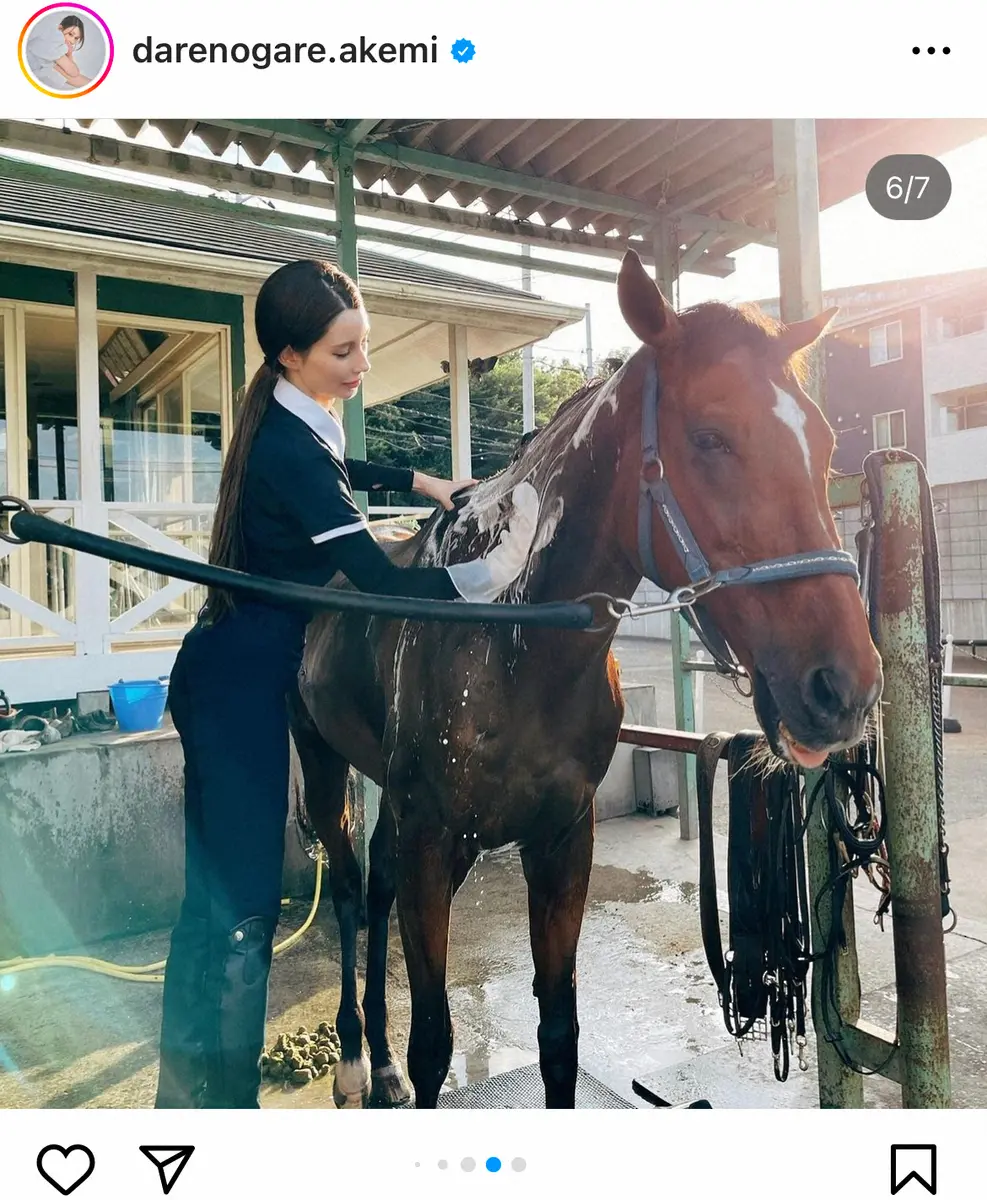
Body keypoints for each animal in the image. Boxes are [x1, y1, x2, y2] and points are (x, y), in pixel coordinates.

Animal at [286, 249, 883, 1110]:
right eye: (708, 436)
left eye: (825, 440)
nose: (844, 688)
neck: (507, 642)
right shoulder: (432, 839)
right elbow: (434, 1039)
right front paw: (399, 1058)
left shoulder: (562, 840)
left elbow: (558, 1035)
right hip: (323, 762)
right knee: (346, 892)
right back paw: (354, 1058)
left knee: (374, 886)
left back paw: (380, 1060)